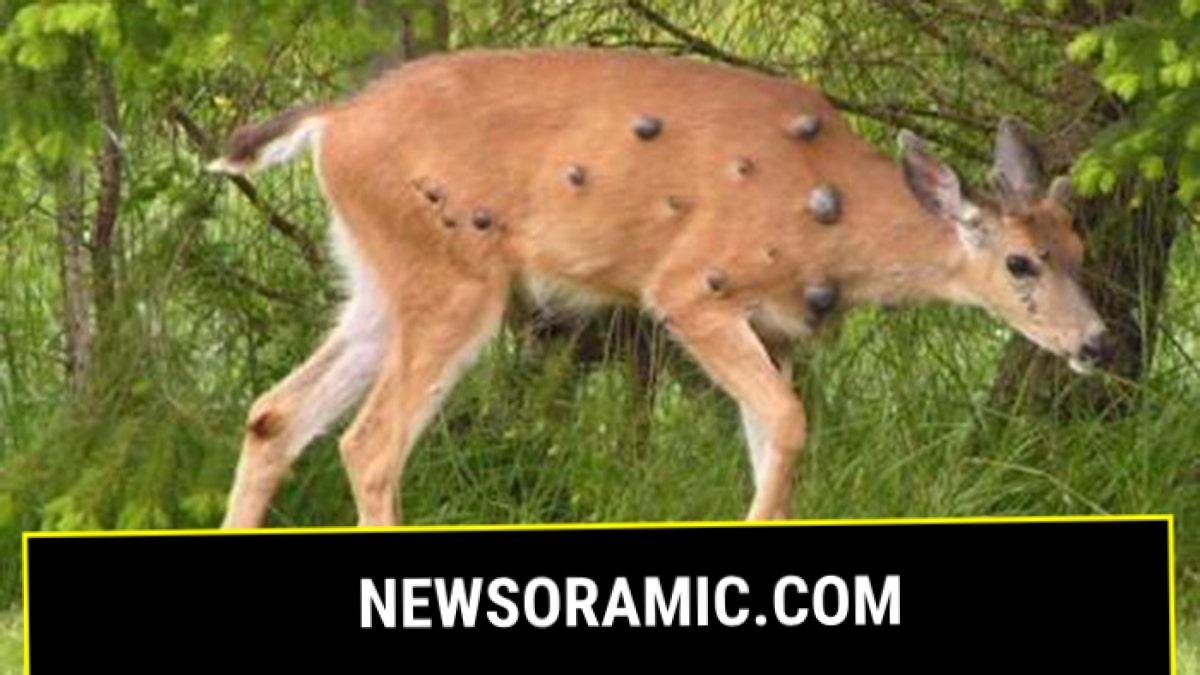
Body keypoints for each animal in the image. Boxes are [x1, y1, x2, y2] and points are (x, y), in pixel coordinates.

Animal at [207, 48, 1113, 528]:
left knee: (275, 413)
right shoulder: (693, 286)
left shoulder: (777, 329)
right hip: (453, 275)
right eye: (1021, 262)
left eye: (1078, 244)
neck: (828, 212)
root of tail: (332, 123)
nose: (1098, 341)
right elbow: (789, 421)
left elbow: (770, 437)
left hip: (377, 278)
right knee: (369, 442)